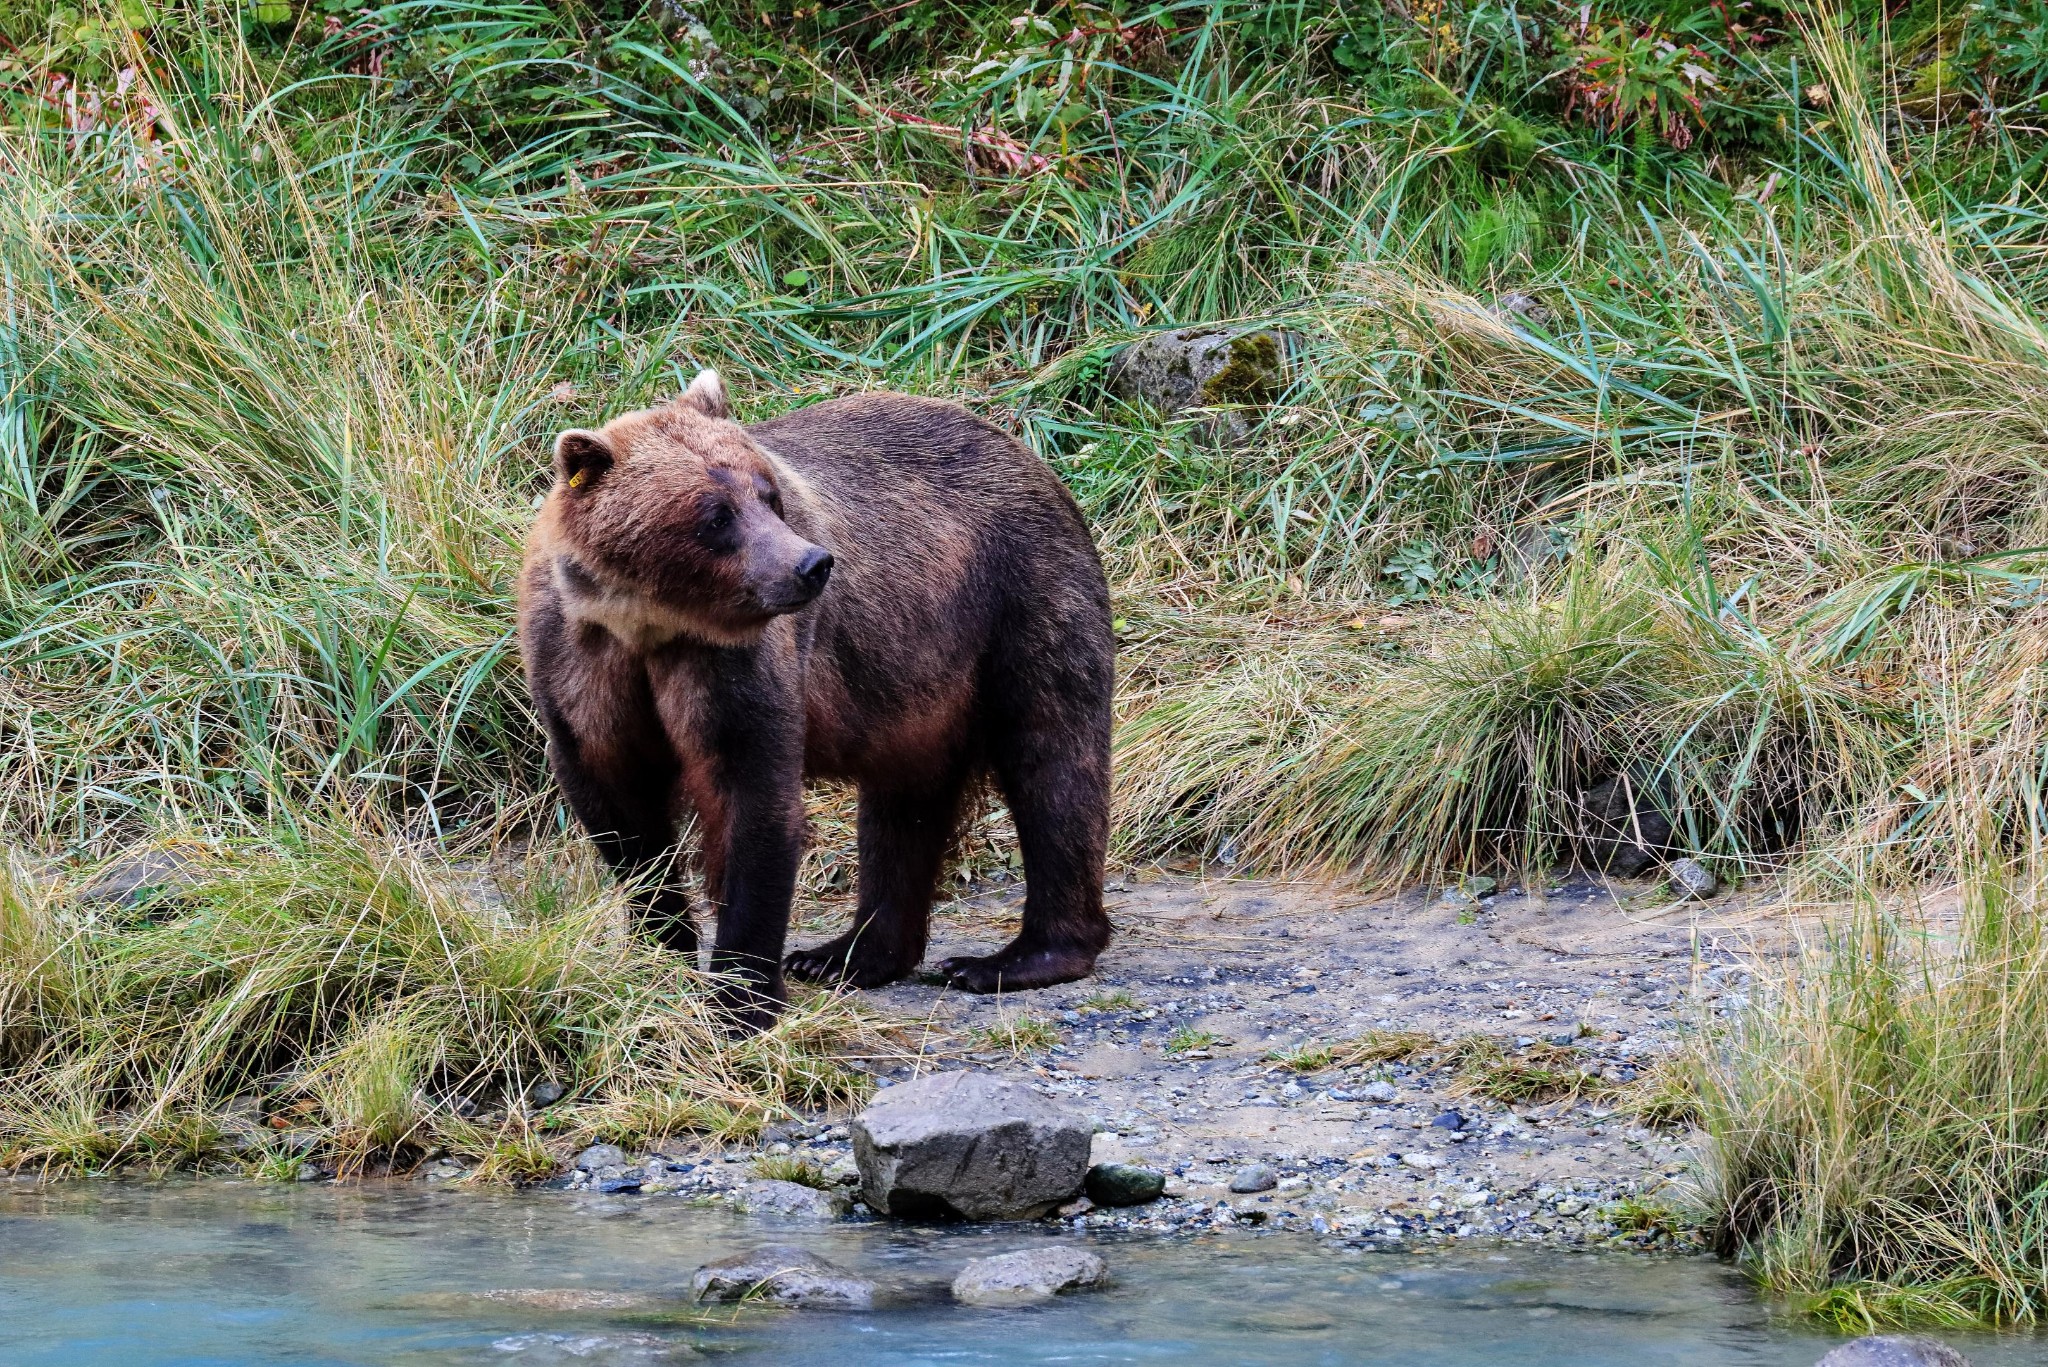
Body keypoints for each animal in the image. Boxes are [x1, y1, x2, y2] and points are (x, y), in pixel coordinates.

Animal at [520, 368, 1114, 1032]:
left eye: (768, 494)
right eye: (715, 516)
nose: (812, 563)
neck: (647, 624)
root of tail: (1026, 452)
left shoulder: (731, 664)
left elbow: (751, 794)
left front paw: (740, 999)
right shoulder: (580, 661)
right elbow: (617, 810)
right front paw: (661, 953)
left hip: (1020, 603)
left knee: (1053, 764)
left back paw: (1013, 958)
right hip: (917, 684)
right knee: (904, 809)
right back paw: (849, 955)